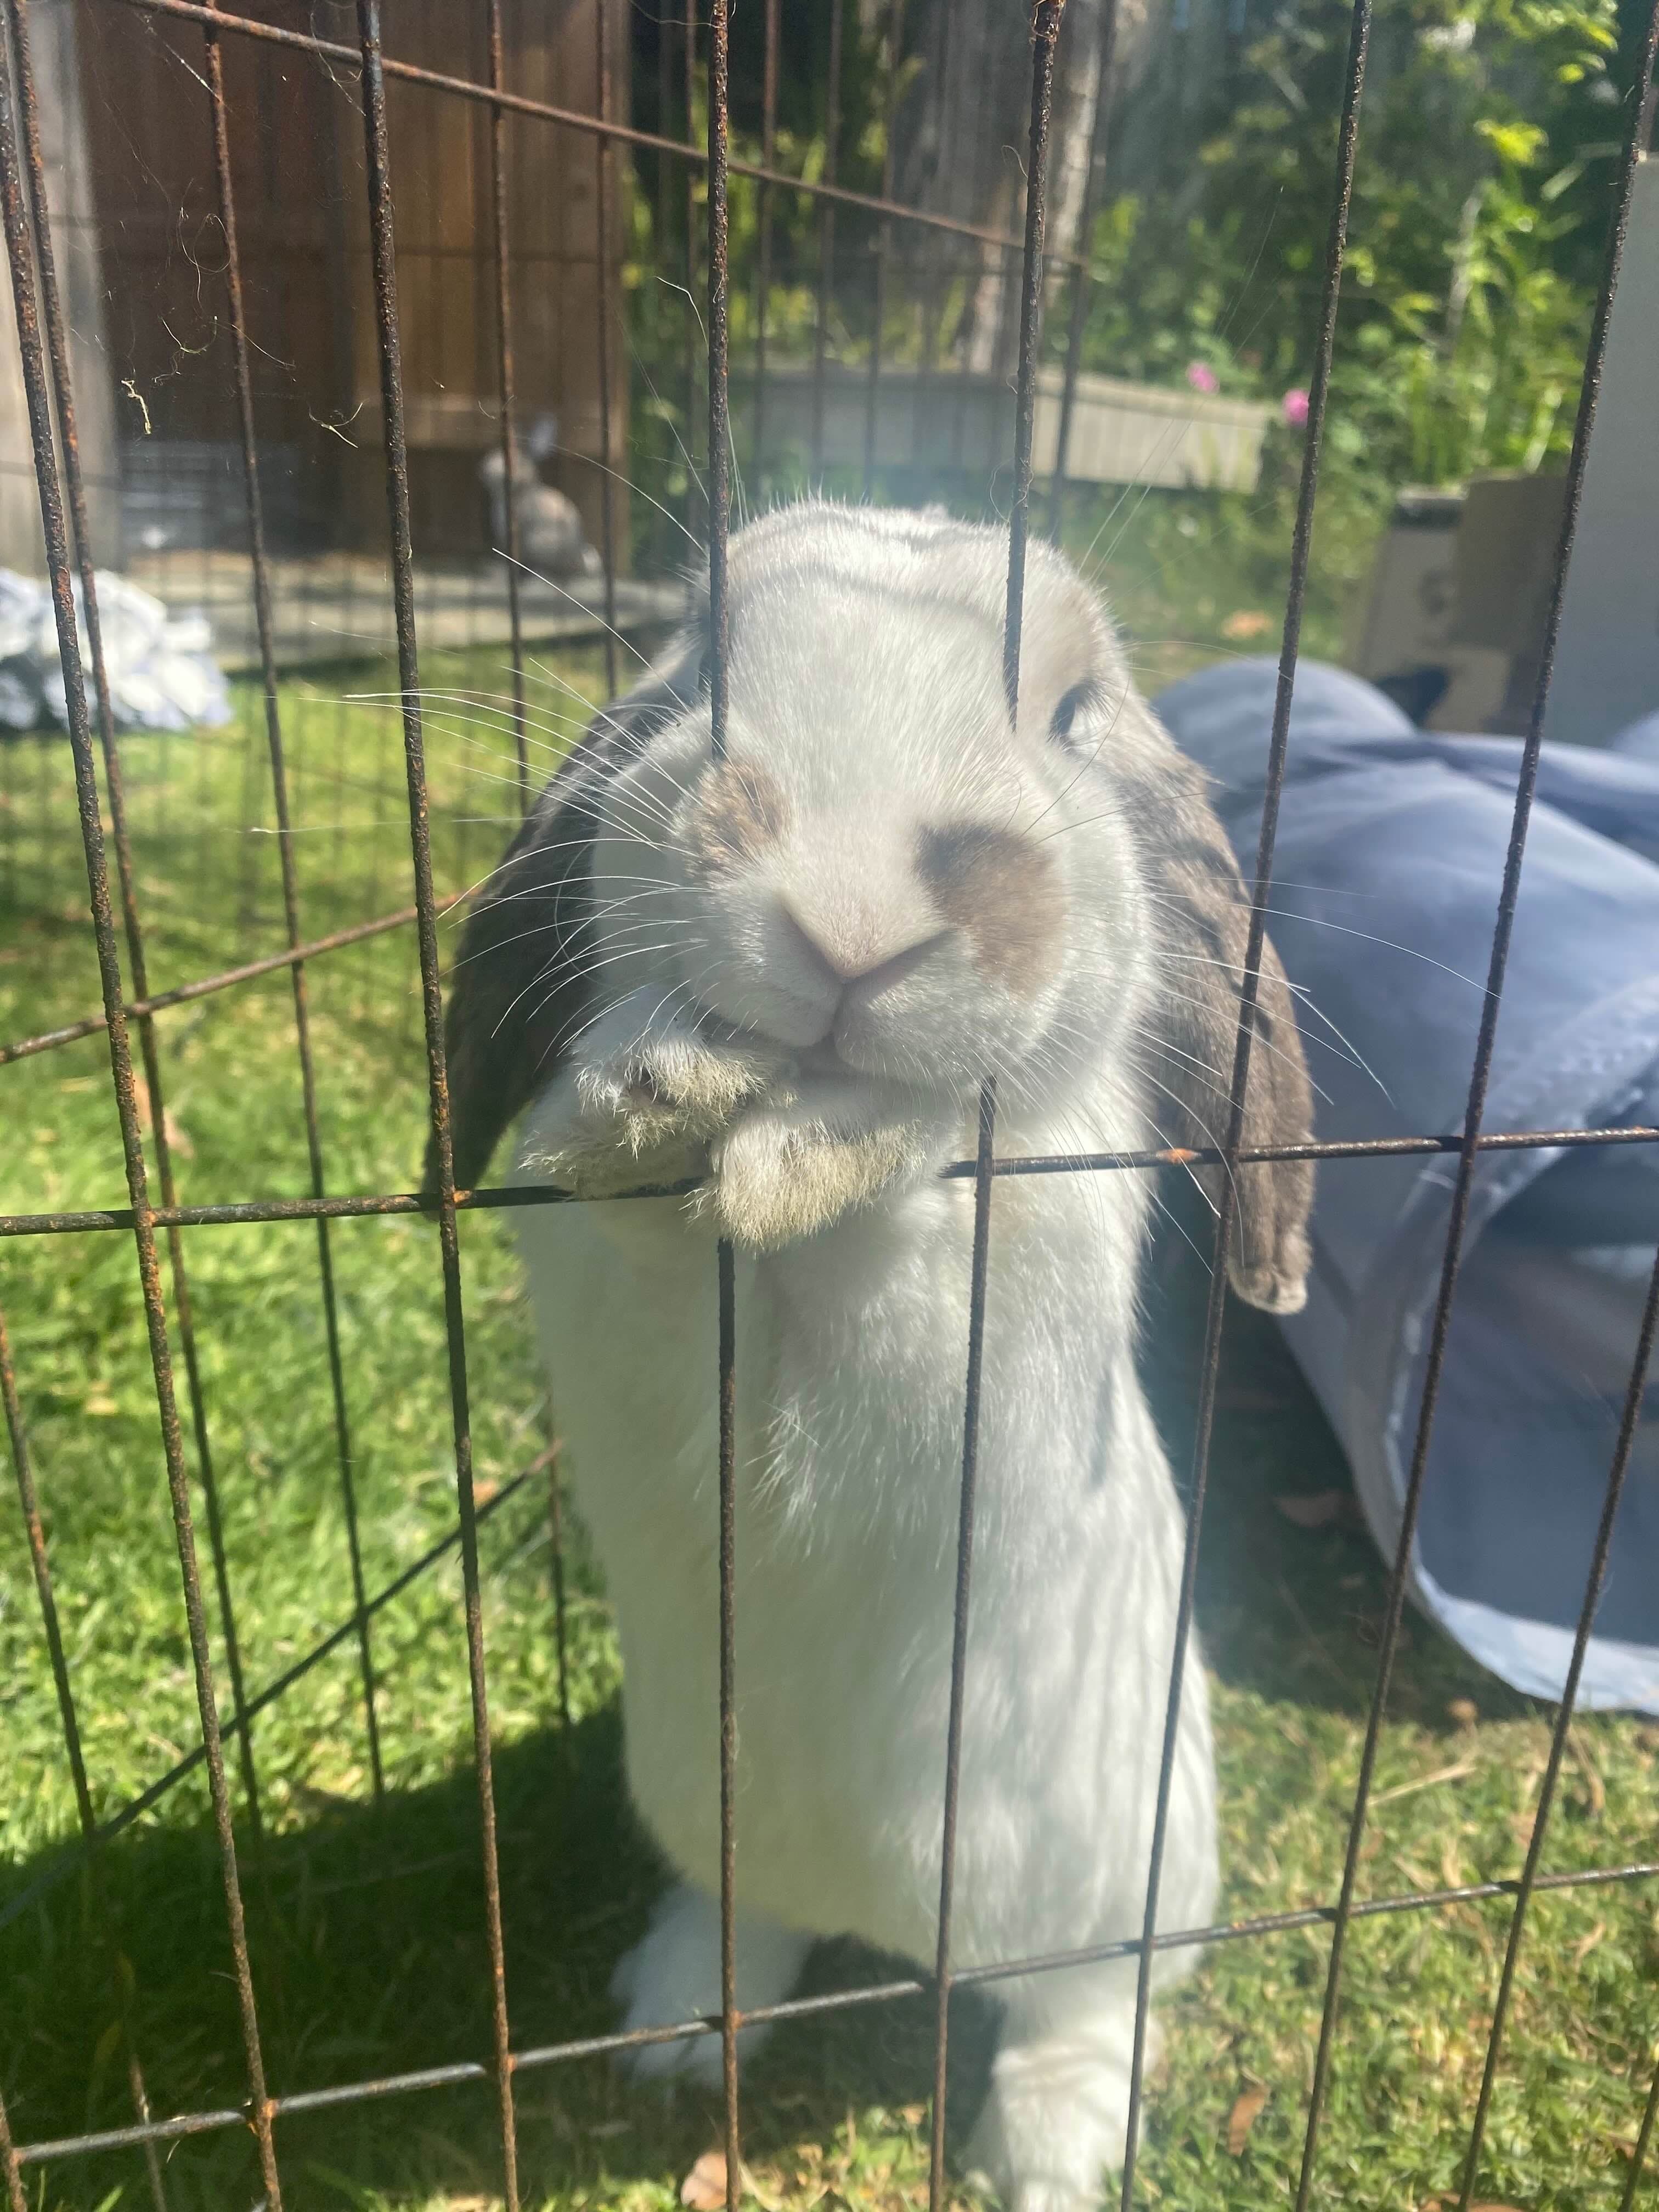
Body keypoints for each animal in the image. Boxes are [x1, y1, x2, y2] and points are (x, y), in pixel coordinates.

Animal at [434, 500, 1314, 2212]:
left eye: (1074, 712)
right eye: (704, 654)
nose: (844, 913)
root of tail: (888, 1932)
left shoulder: (980, 1290)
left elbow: (908, 1181)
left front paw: (810, 1145)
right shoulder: (611, 1284)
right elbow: (639, 1213)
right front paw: (656, 1084)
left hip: (1118, 1884)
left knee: (1086, 2008)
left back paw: (1044, 2156)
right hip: (706, 1806)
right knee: (748, 1920)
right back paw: (673, 2031)